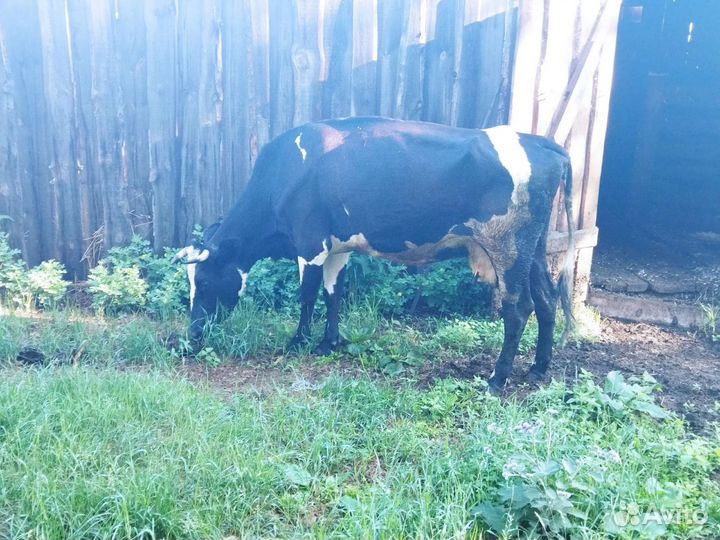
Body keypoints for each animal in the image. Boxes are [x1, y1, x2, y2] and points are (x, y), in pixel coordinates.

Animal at [173, 117, 575, 391]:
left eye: (203, 283)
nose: (192, 337)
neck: (284, 173)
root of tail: (542, 143)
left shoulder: (309, 243)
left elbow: (306, 296)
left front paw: (298, 342)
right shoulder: (337, 247)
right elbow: (333, 294)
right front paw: (328, 342)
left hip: (508, 247)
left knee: (518, 309)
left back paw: (497, 379)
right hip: (535, 248)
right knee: (546, 299)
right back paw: (538, 368)